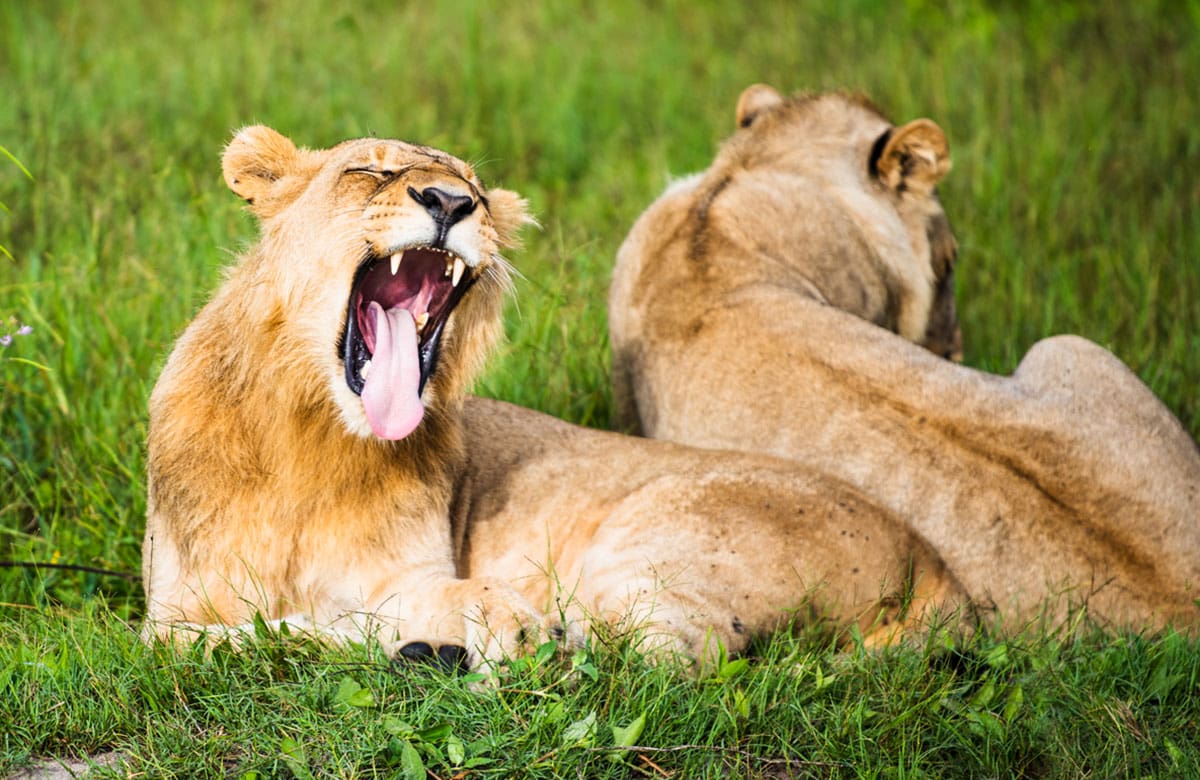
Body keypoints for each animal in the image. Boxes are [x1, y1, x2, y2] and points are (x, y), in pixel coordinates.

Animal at [143, 126, 969, 670]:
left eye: (476, 193)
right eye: (371, 172)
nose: (449, 202)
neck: (309, 434)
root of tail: (937, 564)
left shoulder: (414, 574)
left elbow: (316, 619)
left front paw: (472, 625)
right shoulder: (171, 611)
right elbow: (219, 636)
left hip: (655, 543)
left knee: (651, 664)